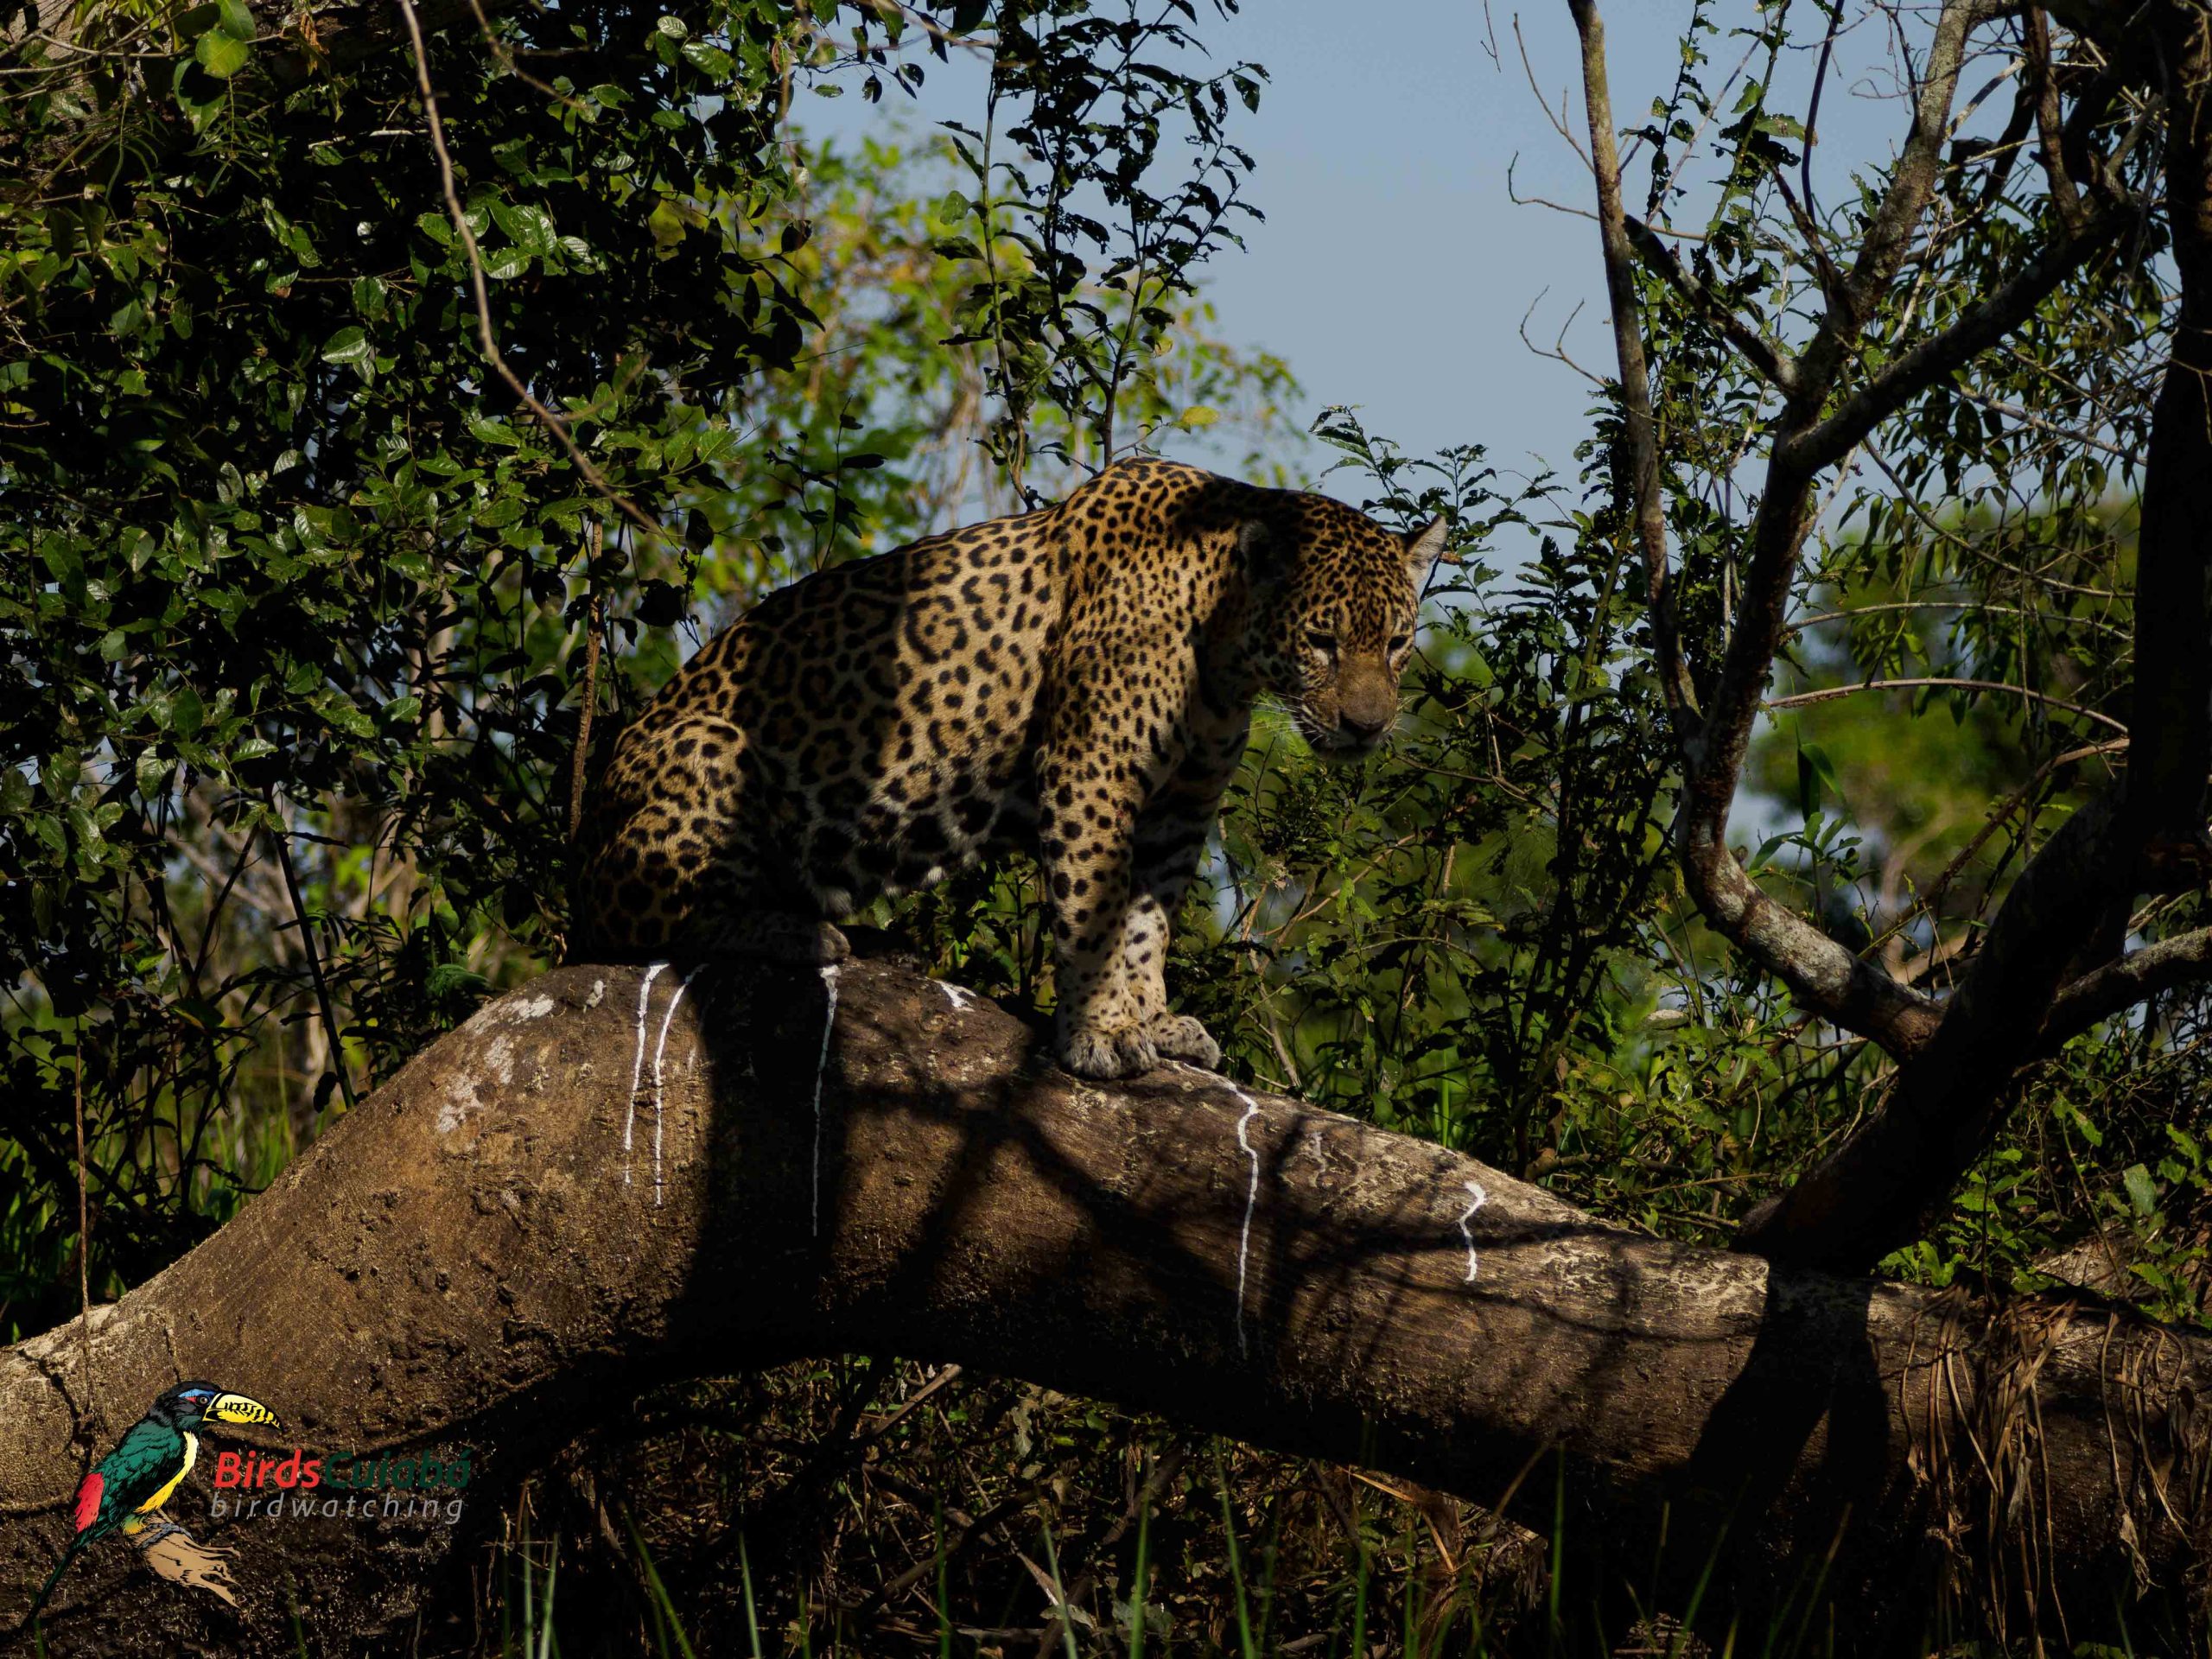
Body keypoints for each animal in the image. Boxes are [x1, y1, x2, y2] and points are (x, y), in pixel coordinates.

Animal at [568, 455, 1445, 1081]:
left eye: (1397, 641)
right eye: (1322, 641)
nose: (1367, 727)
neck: (1226, 649)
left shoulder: (1180, 810)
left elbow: (1148, 925)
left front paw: (1153, 1021)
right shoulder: (1093, 768)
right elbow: (1094, 911)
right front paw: (1099, 1034)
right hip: (712, 749)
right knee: (631, 926)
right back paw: (798, 932)